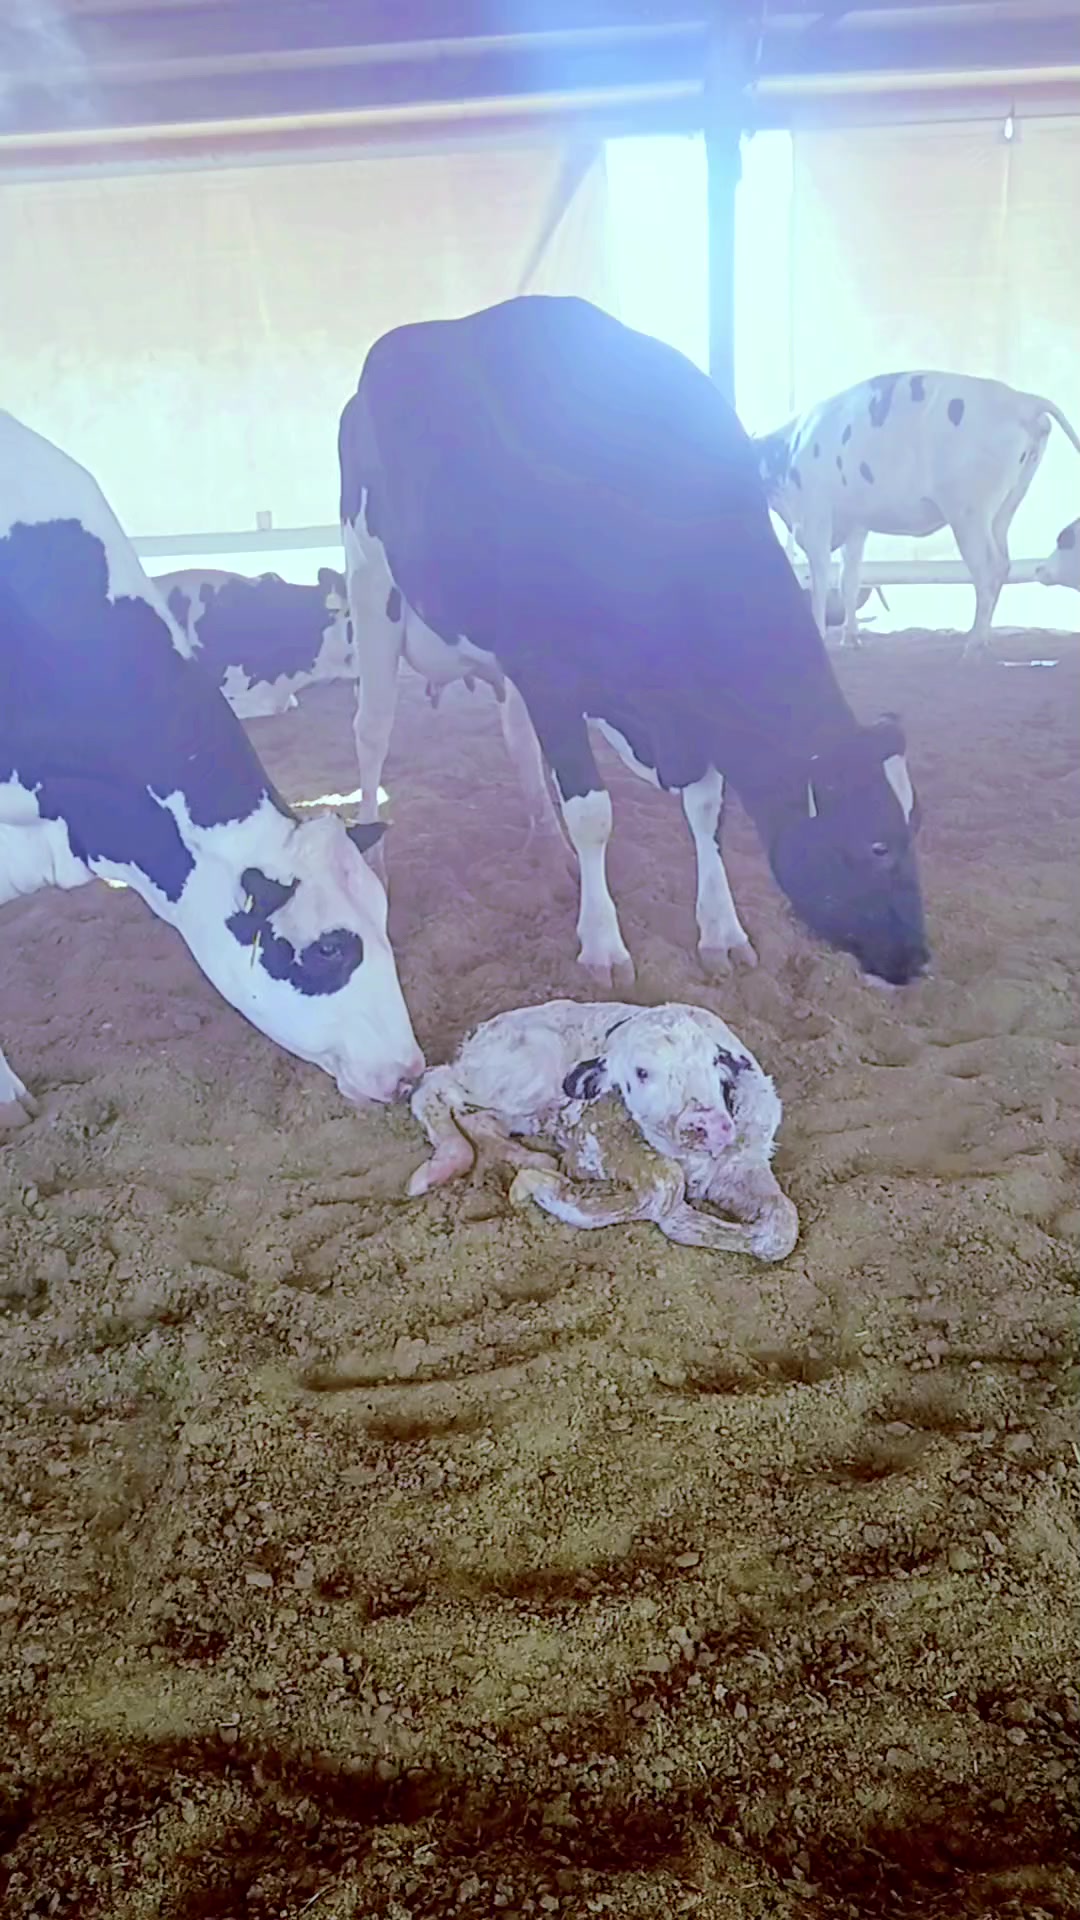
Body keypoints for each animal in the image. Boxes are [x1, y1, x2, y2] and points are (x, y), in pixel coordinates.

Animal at [338, 295, 929, 990]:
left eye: (914, 827)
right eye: (875, 843)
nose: (919, 957)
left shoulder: (687, 706)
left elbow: (705, 809)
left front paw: (722, 931)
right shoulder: (550, 672)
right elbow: (594, 815)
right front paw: (603, 944)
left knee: (515, 738)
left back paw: (546, 843)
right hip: (370, 583)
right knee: (371, 730)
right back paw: (374, 859)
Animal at [407, 998, 798, 1261]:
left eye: (715, 1061)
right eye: (641, 1072)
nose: (707, 1122)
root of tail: (476, 1037)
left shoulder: (743, 1164)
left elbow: (782, 1225)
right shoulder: (593, 1137)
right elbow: (665, 1186)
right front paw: (542, 1188)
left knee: (478, 1118)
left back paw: (531, 1158)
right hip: (519, 1074)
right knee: (433, 1086)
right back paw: (445, 1164)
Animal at [754, 372, 1080, 652]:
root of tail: (1021, 400)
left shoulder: (816, 516)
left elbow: (820, 578)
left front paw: (821, 634)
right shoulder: (856, 525)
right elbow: (850, 579)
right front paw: (851, 637)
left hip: (968, 514)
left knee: (990, 567)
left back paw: (974, 642)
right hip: (1004, 509)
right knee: (1002, 564)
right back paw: (983, 637)